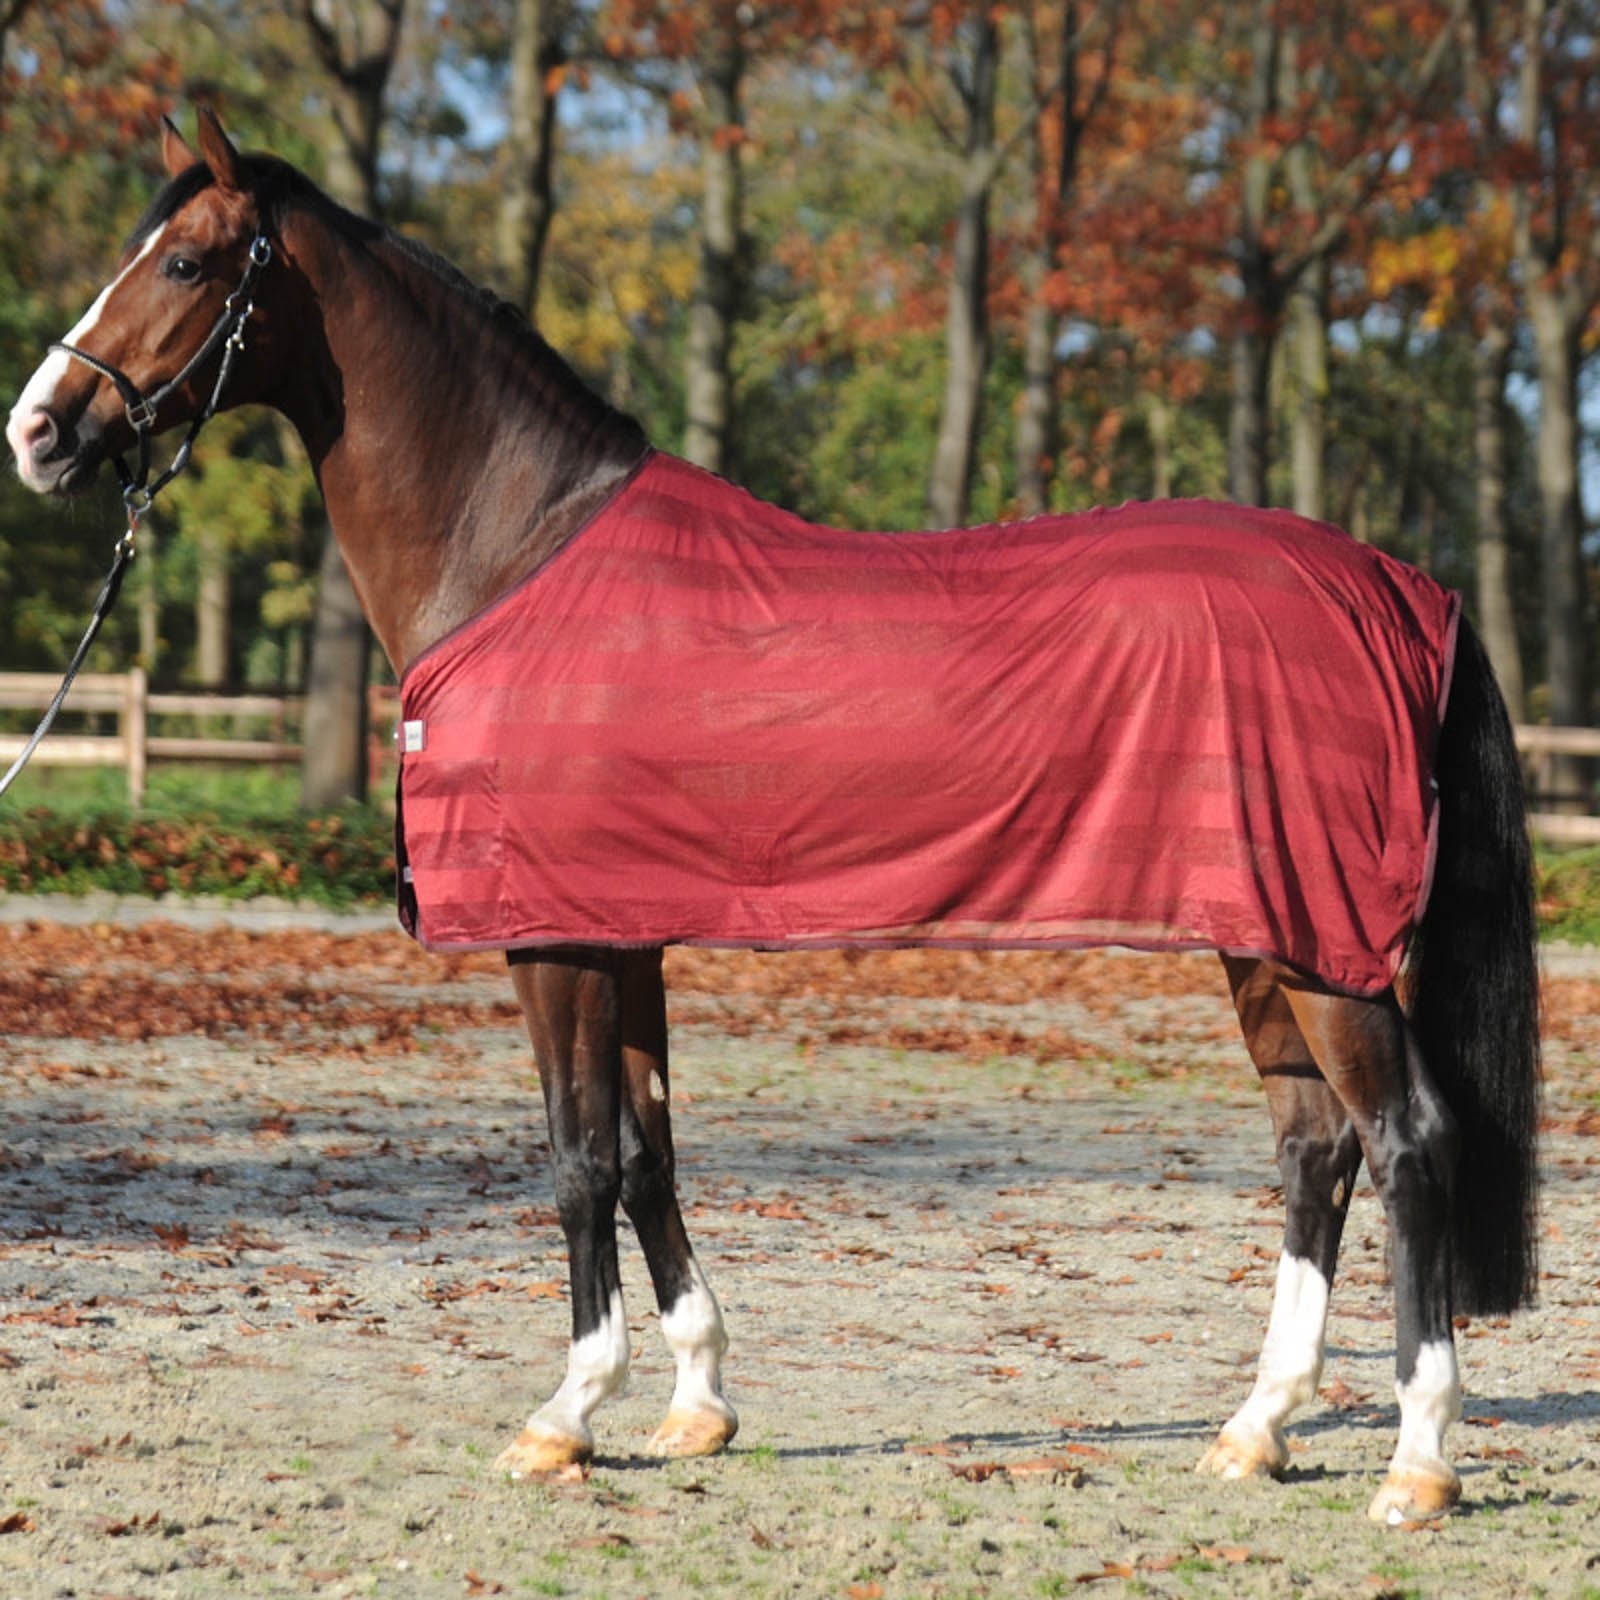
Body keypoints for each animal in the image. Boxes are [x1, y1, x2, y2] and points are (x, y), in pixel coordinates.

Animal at [5, 111, 1539, 1526]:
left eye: (187, 260)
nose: (38, 431)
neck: (517, 546)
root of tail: (1399, 587)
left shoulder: (554, 939)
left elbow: (576, 1158)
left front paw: (565, 1413)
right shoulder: (624, 930)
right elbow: (646, 1146)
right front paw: (694, 1399)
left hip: (1320, 944)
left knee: (1405, 1141)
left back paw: (1416, 1462)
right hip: (1265, 934)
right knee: (1315, 1147)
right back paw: (1255, 1429)